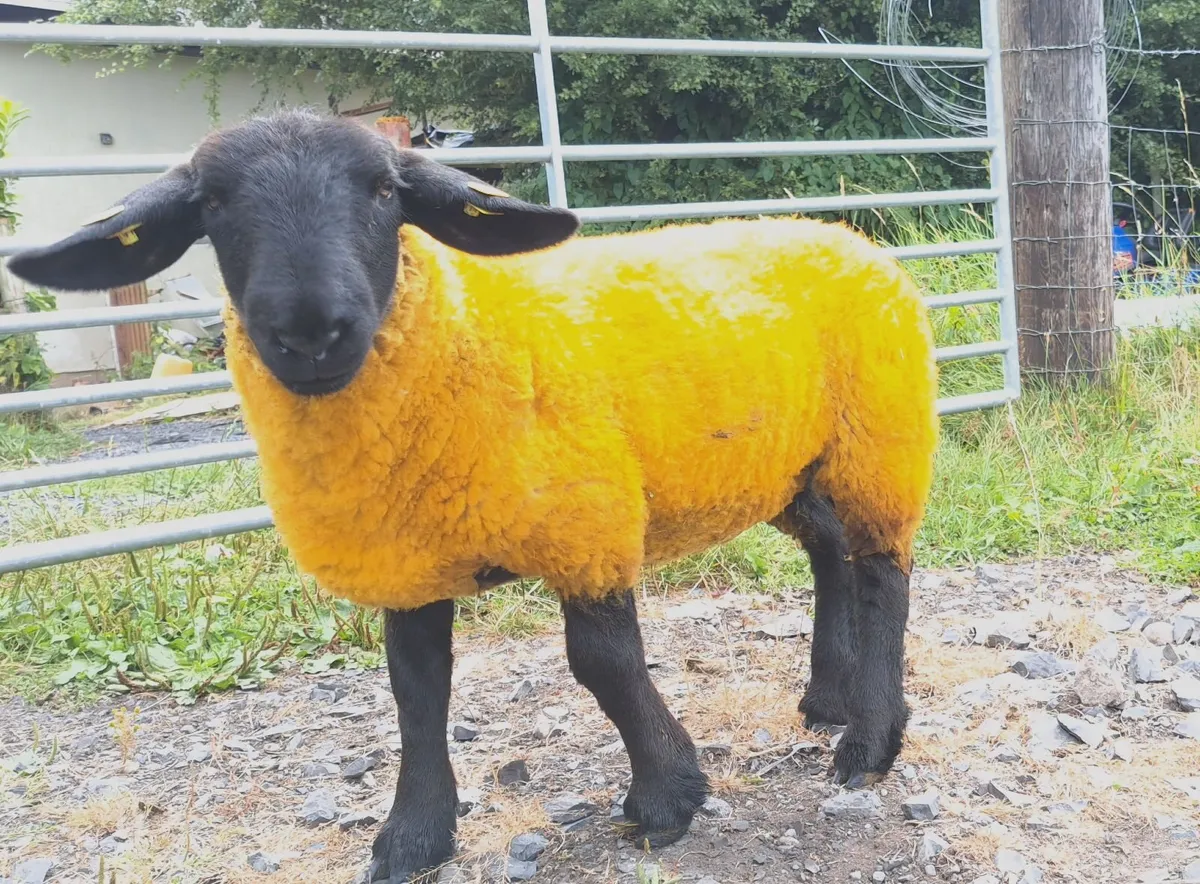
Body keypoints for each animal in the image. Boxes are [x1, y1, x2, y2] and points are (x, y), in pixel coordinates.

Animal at [8, 108, 940, 883]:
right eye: (212, 204)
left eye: (385, 191)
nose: (311, 332)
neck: (457, 332)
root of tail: (835, 231)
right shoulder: (404, 560)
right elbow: (416, 693)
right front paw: (414, 836)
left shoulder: (586, 523)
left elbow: (602, 666)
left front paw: (665, 799)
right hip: (791, 462)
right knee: (832, 552)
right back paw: (827, 697)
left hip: (879, 436)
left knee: (883, 573)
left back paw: (869, 738)